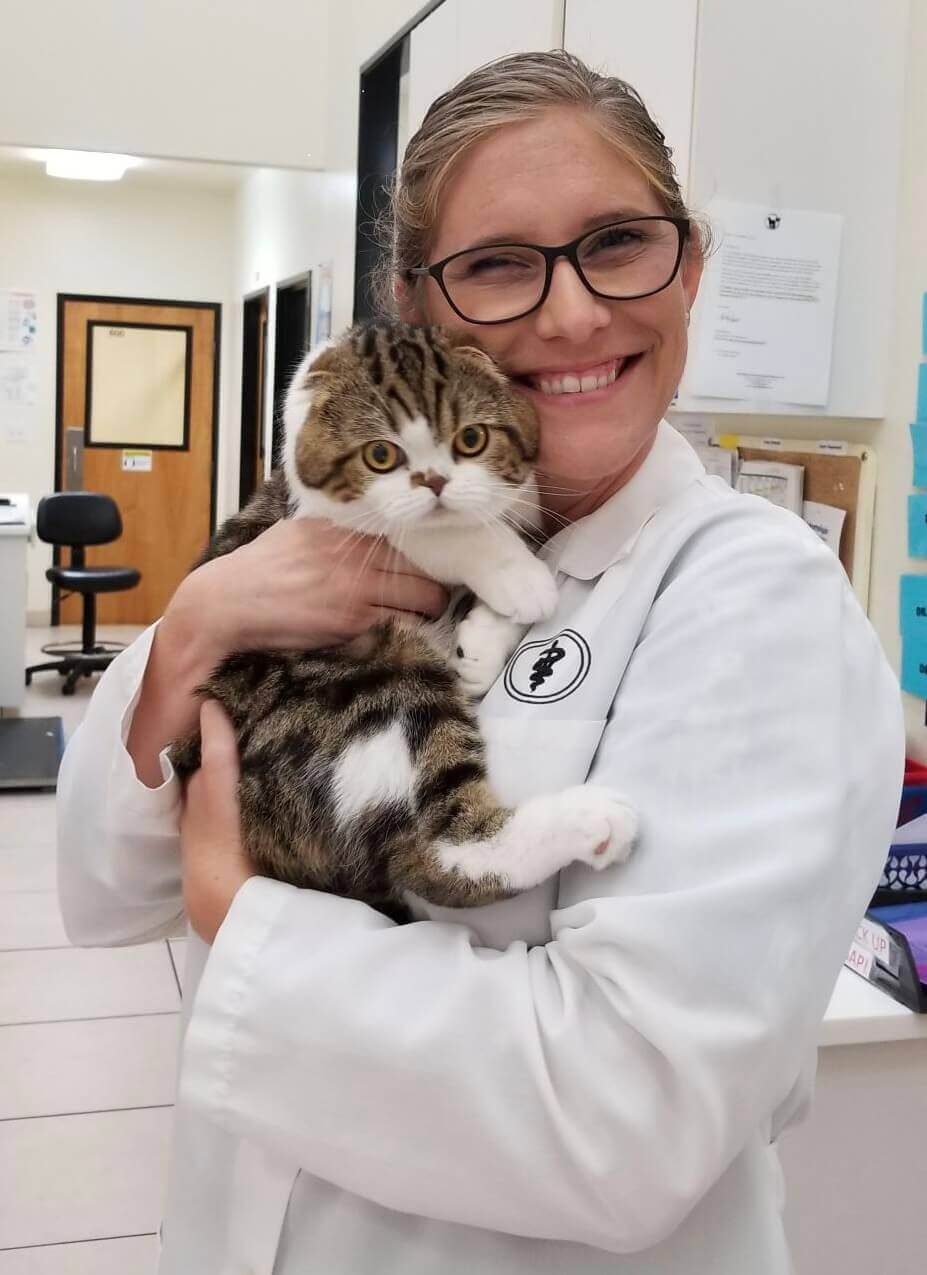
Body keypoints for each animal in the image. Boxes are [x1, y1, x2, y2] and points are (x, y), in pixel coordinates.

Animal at [170, 318, 637, 918]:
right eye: (380, 456)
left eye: (471, 440)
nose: (435, 483)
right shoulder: (333, 516)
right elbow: (439, 533)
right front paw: (519, 578)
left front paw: (483, 645)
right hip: (378, 682)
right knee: (433, 847)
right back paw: (589, 821)